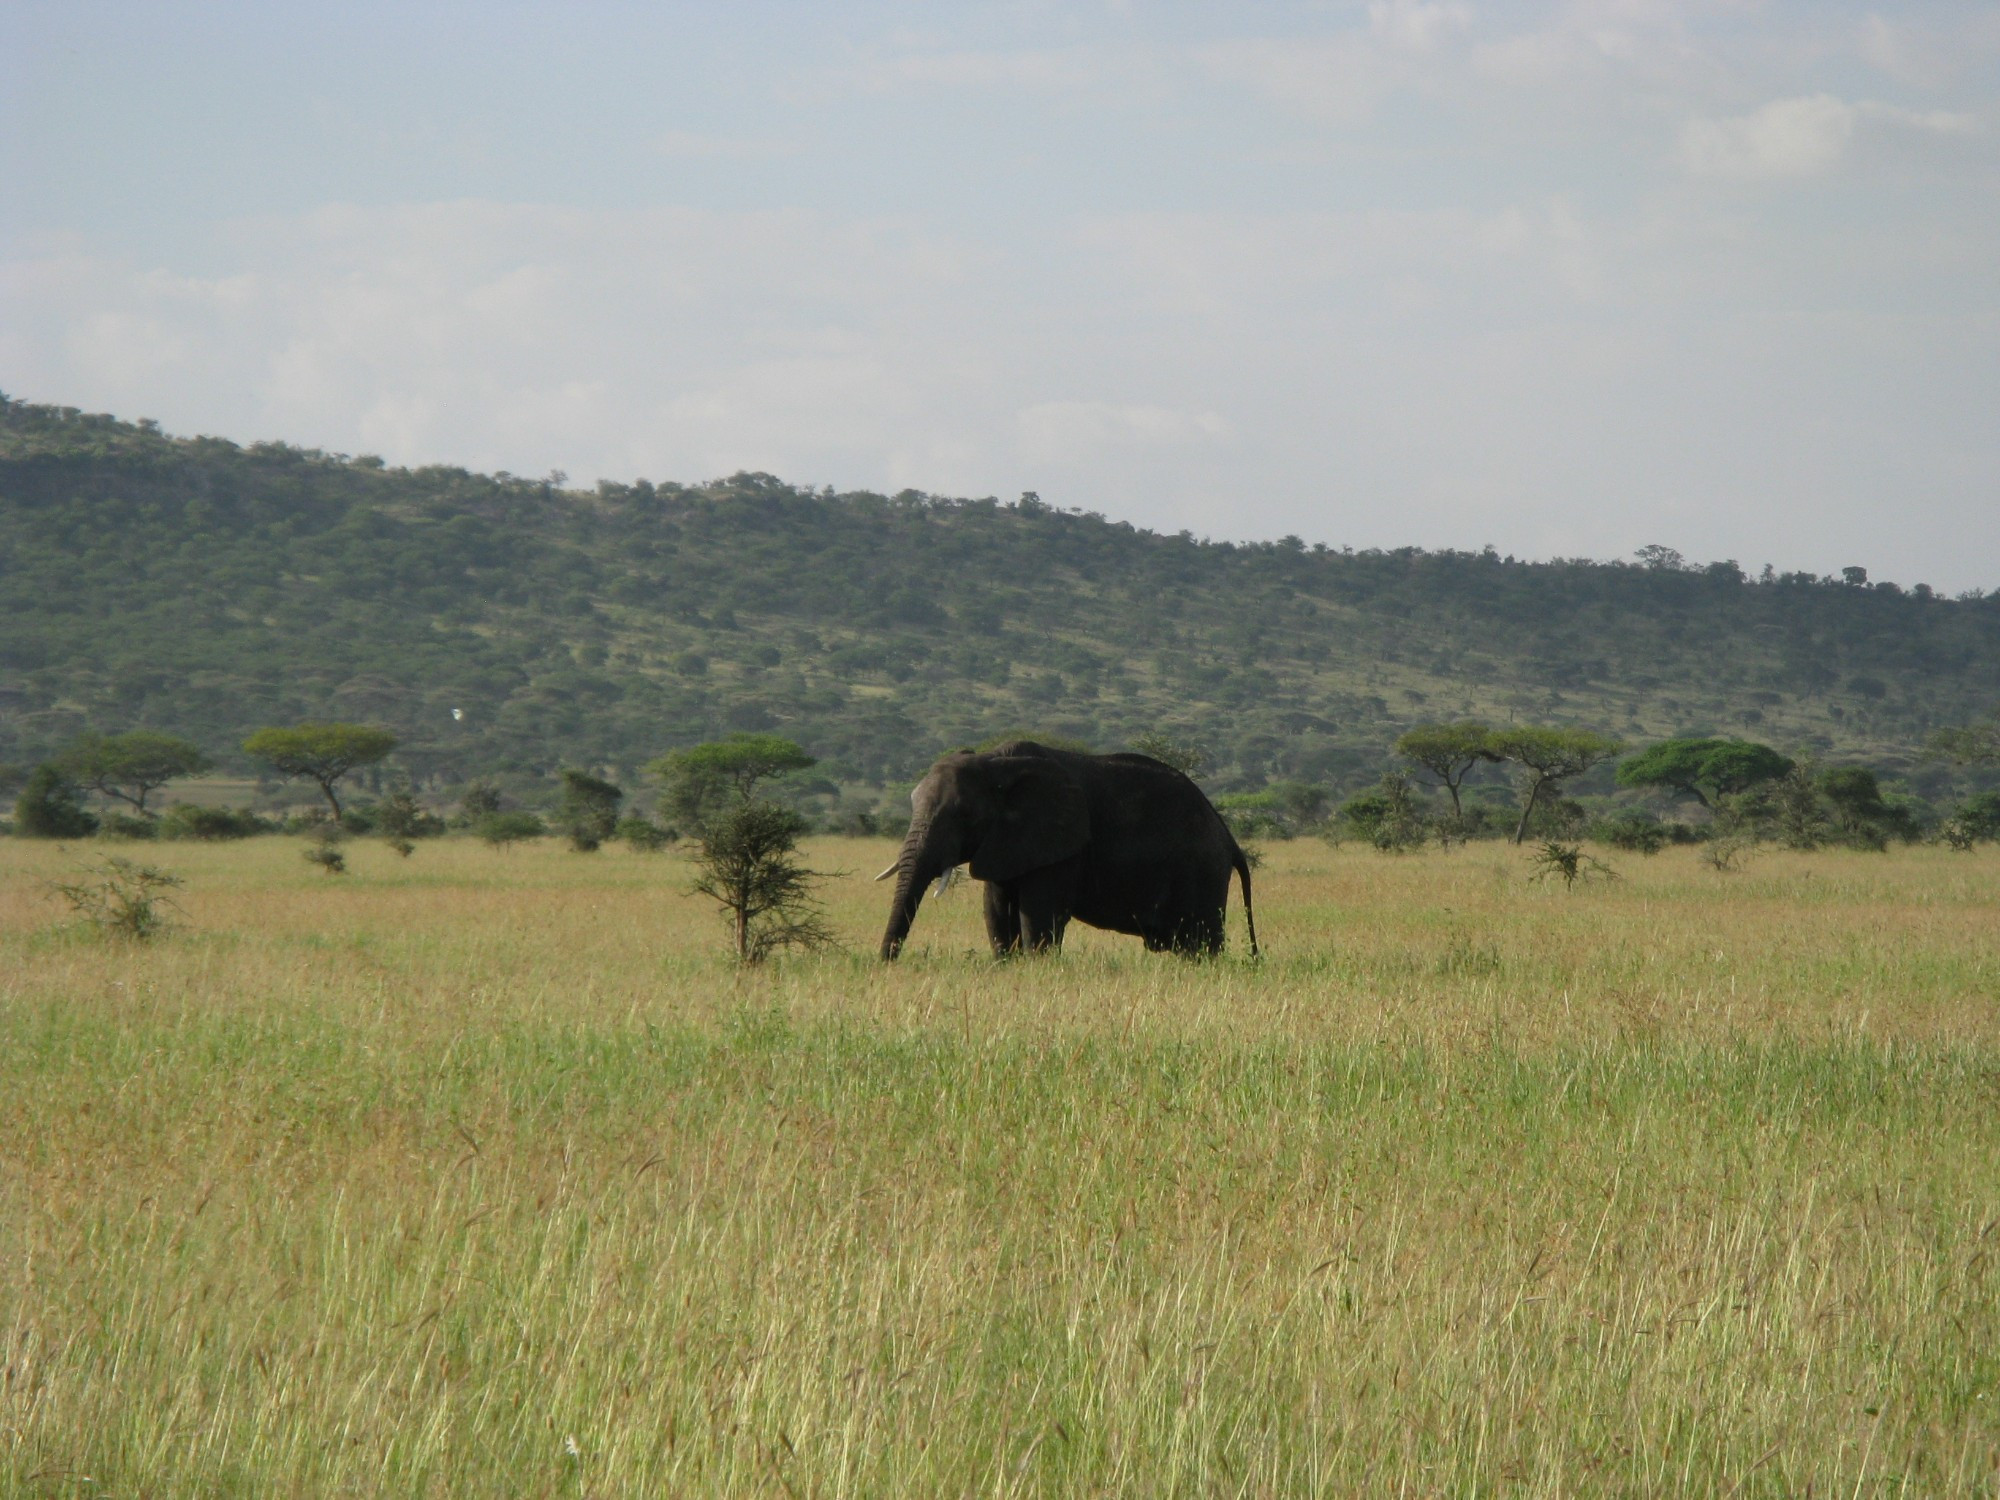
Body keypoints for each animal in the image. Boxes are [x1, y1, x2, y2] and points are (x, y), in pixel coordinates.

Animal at [872, 744, 1248, 964]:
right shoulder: (1006, 842)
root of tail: (1227, 836)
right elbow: (995, 910)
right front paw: (1006, 966)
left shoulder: (1062, 845)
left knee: (1200, 943)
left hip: (1201, 872)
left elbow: (1038, 914)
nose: (884, 962)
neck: (997, 763)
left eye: (964, 815)